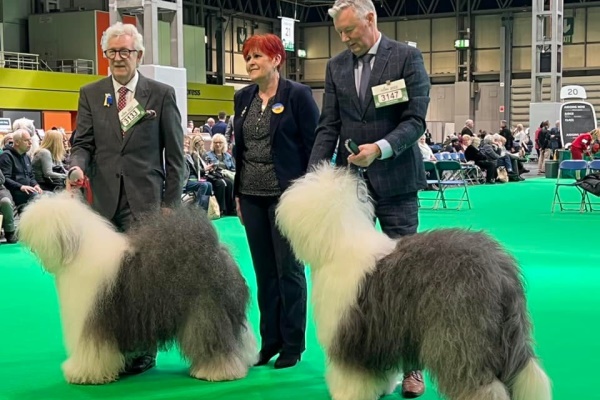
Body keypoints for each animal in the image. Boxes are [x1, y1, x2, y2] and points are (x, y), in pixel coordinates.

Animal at [18, 192, 257, 384]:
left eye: (40, 221)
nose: (21, 232)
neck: (77, 251)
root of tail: (216, 250)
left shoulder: (92, 320)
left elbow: (91, 350)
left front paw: (82, 373)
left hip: (205, 311)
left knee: (215, 342)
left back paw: (217, 371)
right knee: (239, 338)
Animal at [275, 163, 551, 400]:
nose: (279, 210)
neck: (340, 241)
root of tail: (501, 269)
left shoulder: (349, 331)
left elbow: (351, 373)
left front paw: (347, 393)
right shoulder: (379, 335)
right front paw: (381, 389)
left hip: (458, 335)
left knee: (481, 385)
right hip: (499, 335)